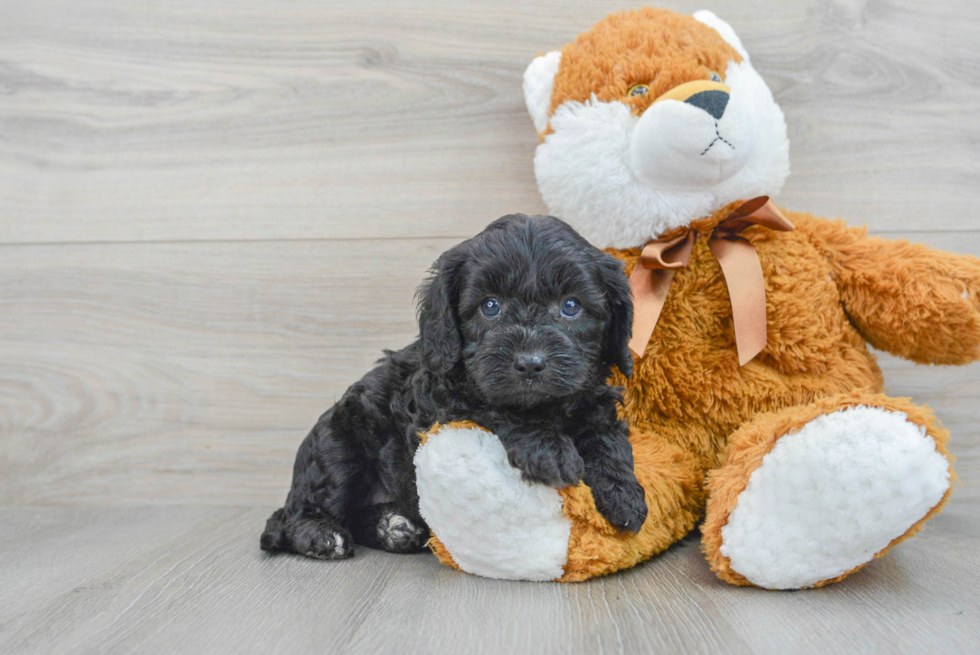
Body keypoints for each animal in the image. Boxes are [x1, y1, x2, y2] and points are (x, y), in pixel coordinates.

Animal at [260, 214, 648, 560]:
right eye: (490, 306)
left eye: (571, 306)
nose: (530, 363)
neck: (546, 405)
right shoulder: (443, 400)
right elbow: (497, 408)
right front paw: (551, 450)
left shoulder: (594, 399)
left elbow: (607, 437)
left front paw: (624, 493)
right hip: (337, 447)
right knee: (297, 514)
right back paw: (323, 535)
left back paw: (393, 528)